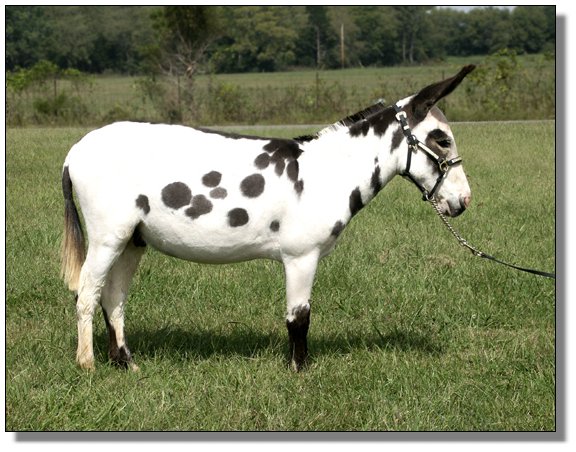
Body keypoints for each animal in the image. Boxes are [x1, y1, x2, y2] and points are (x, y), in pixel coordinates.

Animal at [61, 65, 475, 372]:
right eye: (441, 139)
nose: (464, 201)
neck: (328, 171)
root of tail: (77, 147)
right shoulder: (301, 257)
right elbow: (299, 317)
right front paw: (300, 371)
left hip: (133, 240)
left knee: (113, 297)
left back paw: (125, 363)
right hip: (108, 237)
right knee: (87, 293)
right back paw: (88, 365)